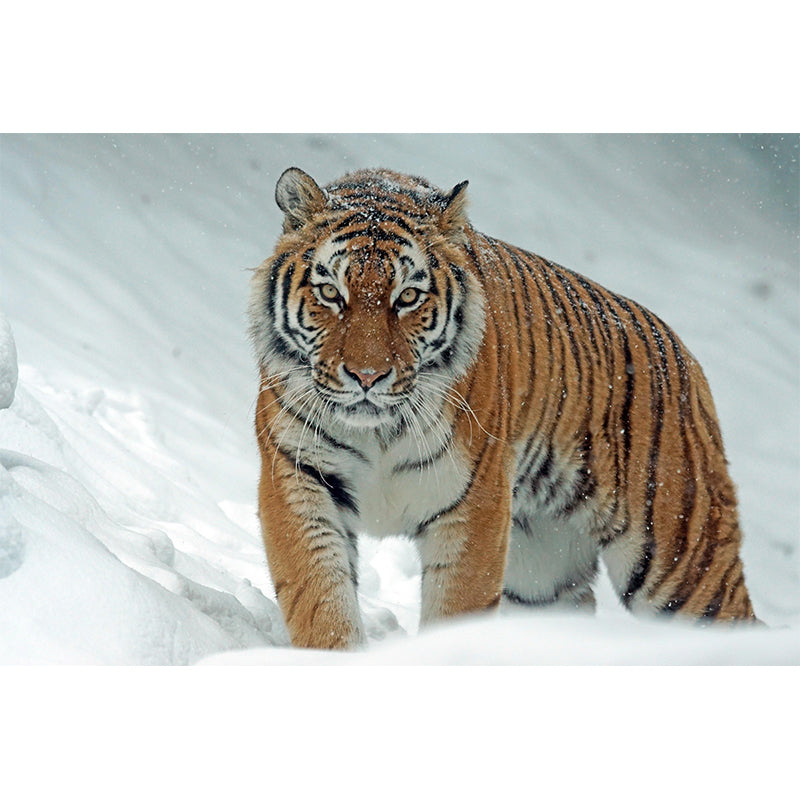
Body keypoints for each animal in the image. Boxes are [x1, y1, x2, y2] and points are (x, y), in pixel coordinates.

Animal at [248, 166, 759, 650]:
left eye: (407, 297)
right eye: (331, 293)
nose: (368, 377)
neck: (378, 431)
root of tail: (686, 357)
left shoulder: (475, 504)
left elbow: (455, 609)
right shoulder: (297, 476)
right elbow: (320, 599)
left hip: (681, 560)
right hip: (542, 574)